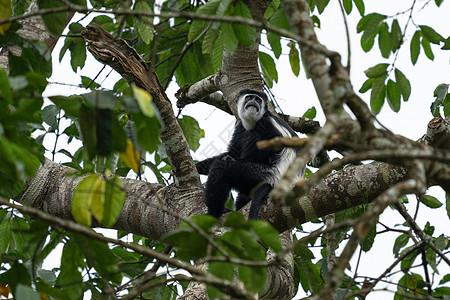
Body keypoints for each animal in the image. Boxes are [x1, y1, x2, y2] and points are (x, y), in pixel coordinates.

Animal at [196, 88, 304, 219]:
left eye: (258, 99)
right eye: (249, 97)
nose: (253, 102)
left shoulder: (267, 124)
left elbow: (275, 147)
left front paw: (233, 160)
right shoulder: (240, 128)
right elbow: (233, 151)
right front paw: (199, 166)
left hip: (264, 174)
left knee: (222, 169)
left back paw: (213, 214)